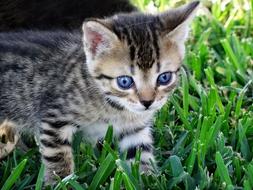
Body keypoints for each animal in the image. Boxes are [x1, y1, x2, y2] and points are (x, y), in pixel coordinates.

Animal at [0, 0, 200, 183]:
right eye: (125, 81)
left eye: (164, 78)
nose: (147, 102)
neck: (113, 105)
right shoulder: (54, 116)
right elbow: (57, 154)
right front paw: (59, 181)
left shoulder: (135, 128)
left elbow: (140, 151)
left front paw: (148, 179)